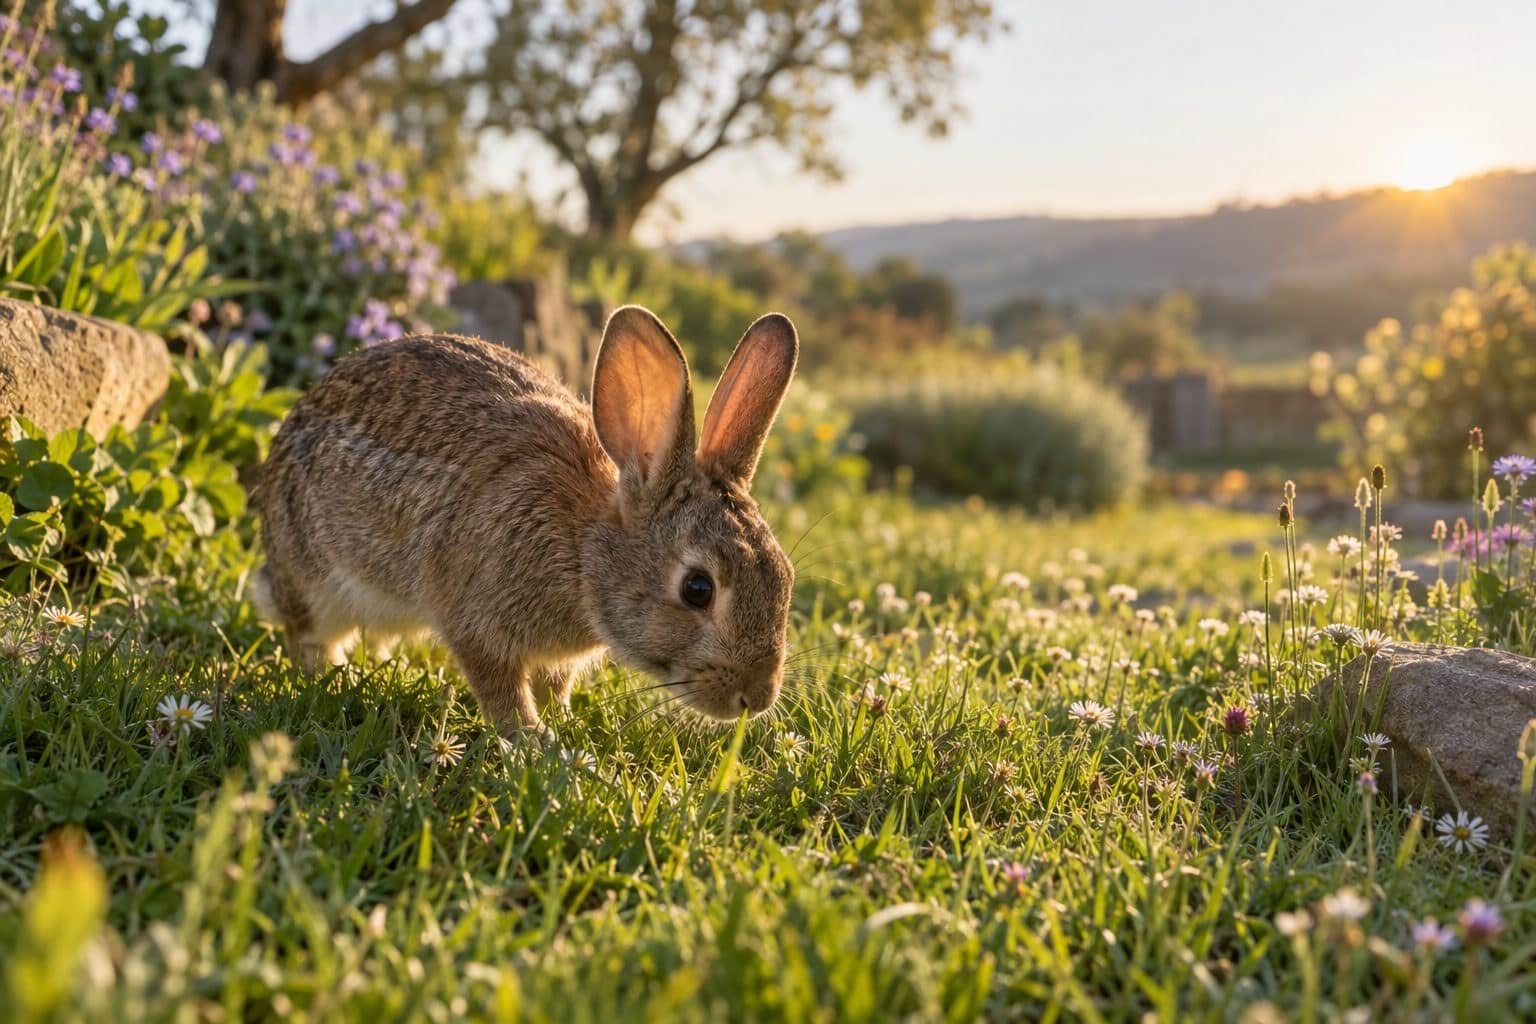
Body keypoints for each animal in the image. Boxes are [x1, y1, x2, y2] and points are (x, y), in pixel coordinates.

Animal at [250, 305, 799, 739]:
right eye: (698, 589)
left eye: (786, 575)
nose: (757, 696)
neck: (581, 553)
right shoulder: (475, 619)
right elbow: (499, 687)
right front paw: (534, 740)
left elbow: (554, 684)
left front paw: (563, 722)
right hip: (314, 578)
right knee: (306, 636)